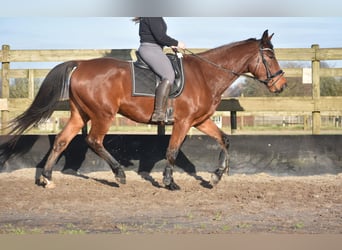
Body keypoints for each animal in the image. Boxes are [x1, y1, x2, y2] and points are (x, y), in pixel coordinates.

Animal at [2, 29, 286, 189]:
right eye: (270, 56)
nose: (281, 85)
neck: (206, 74)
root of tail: (80, 64)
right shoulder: (183, 122)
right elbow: (172, 151)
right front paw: (170, 182)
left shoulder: (200, 121)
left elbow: (224, 140)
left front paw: (216, 177)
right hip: (103, 115)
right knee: (94, 140)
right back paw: (119, 174)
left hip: (80, 114)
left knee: (62, 140)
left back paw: (47, 178)